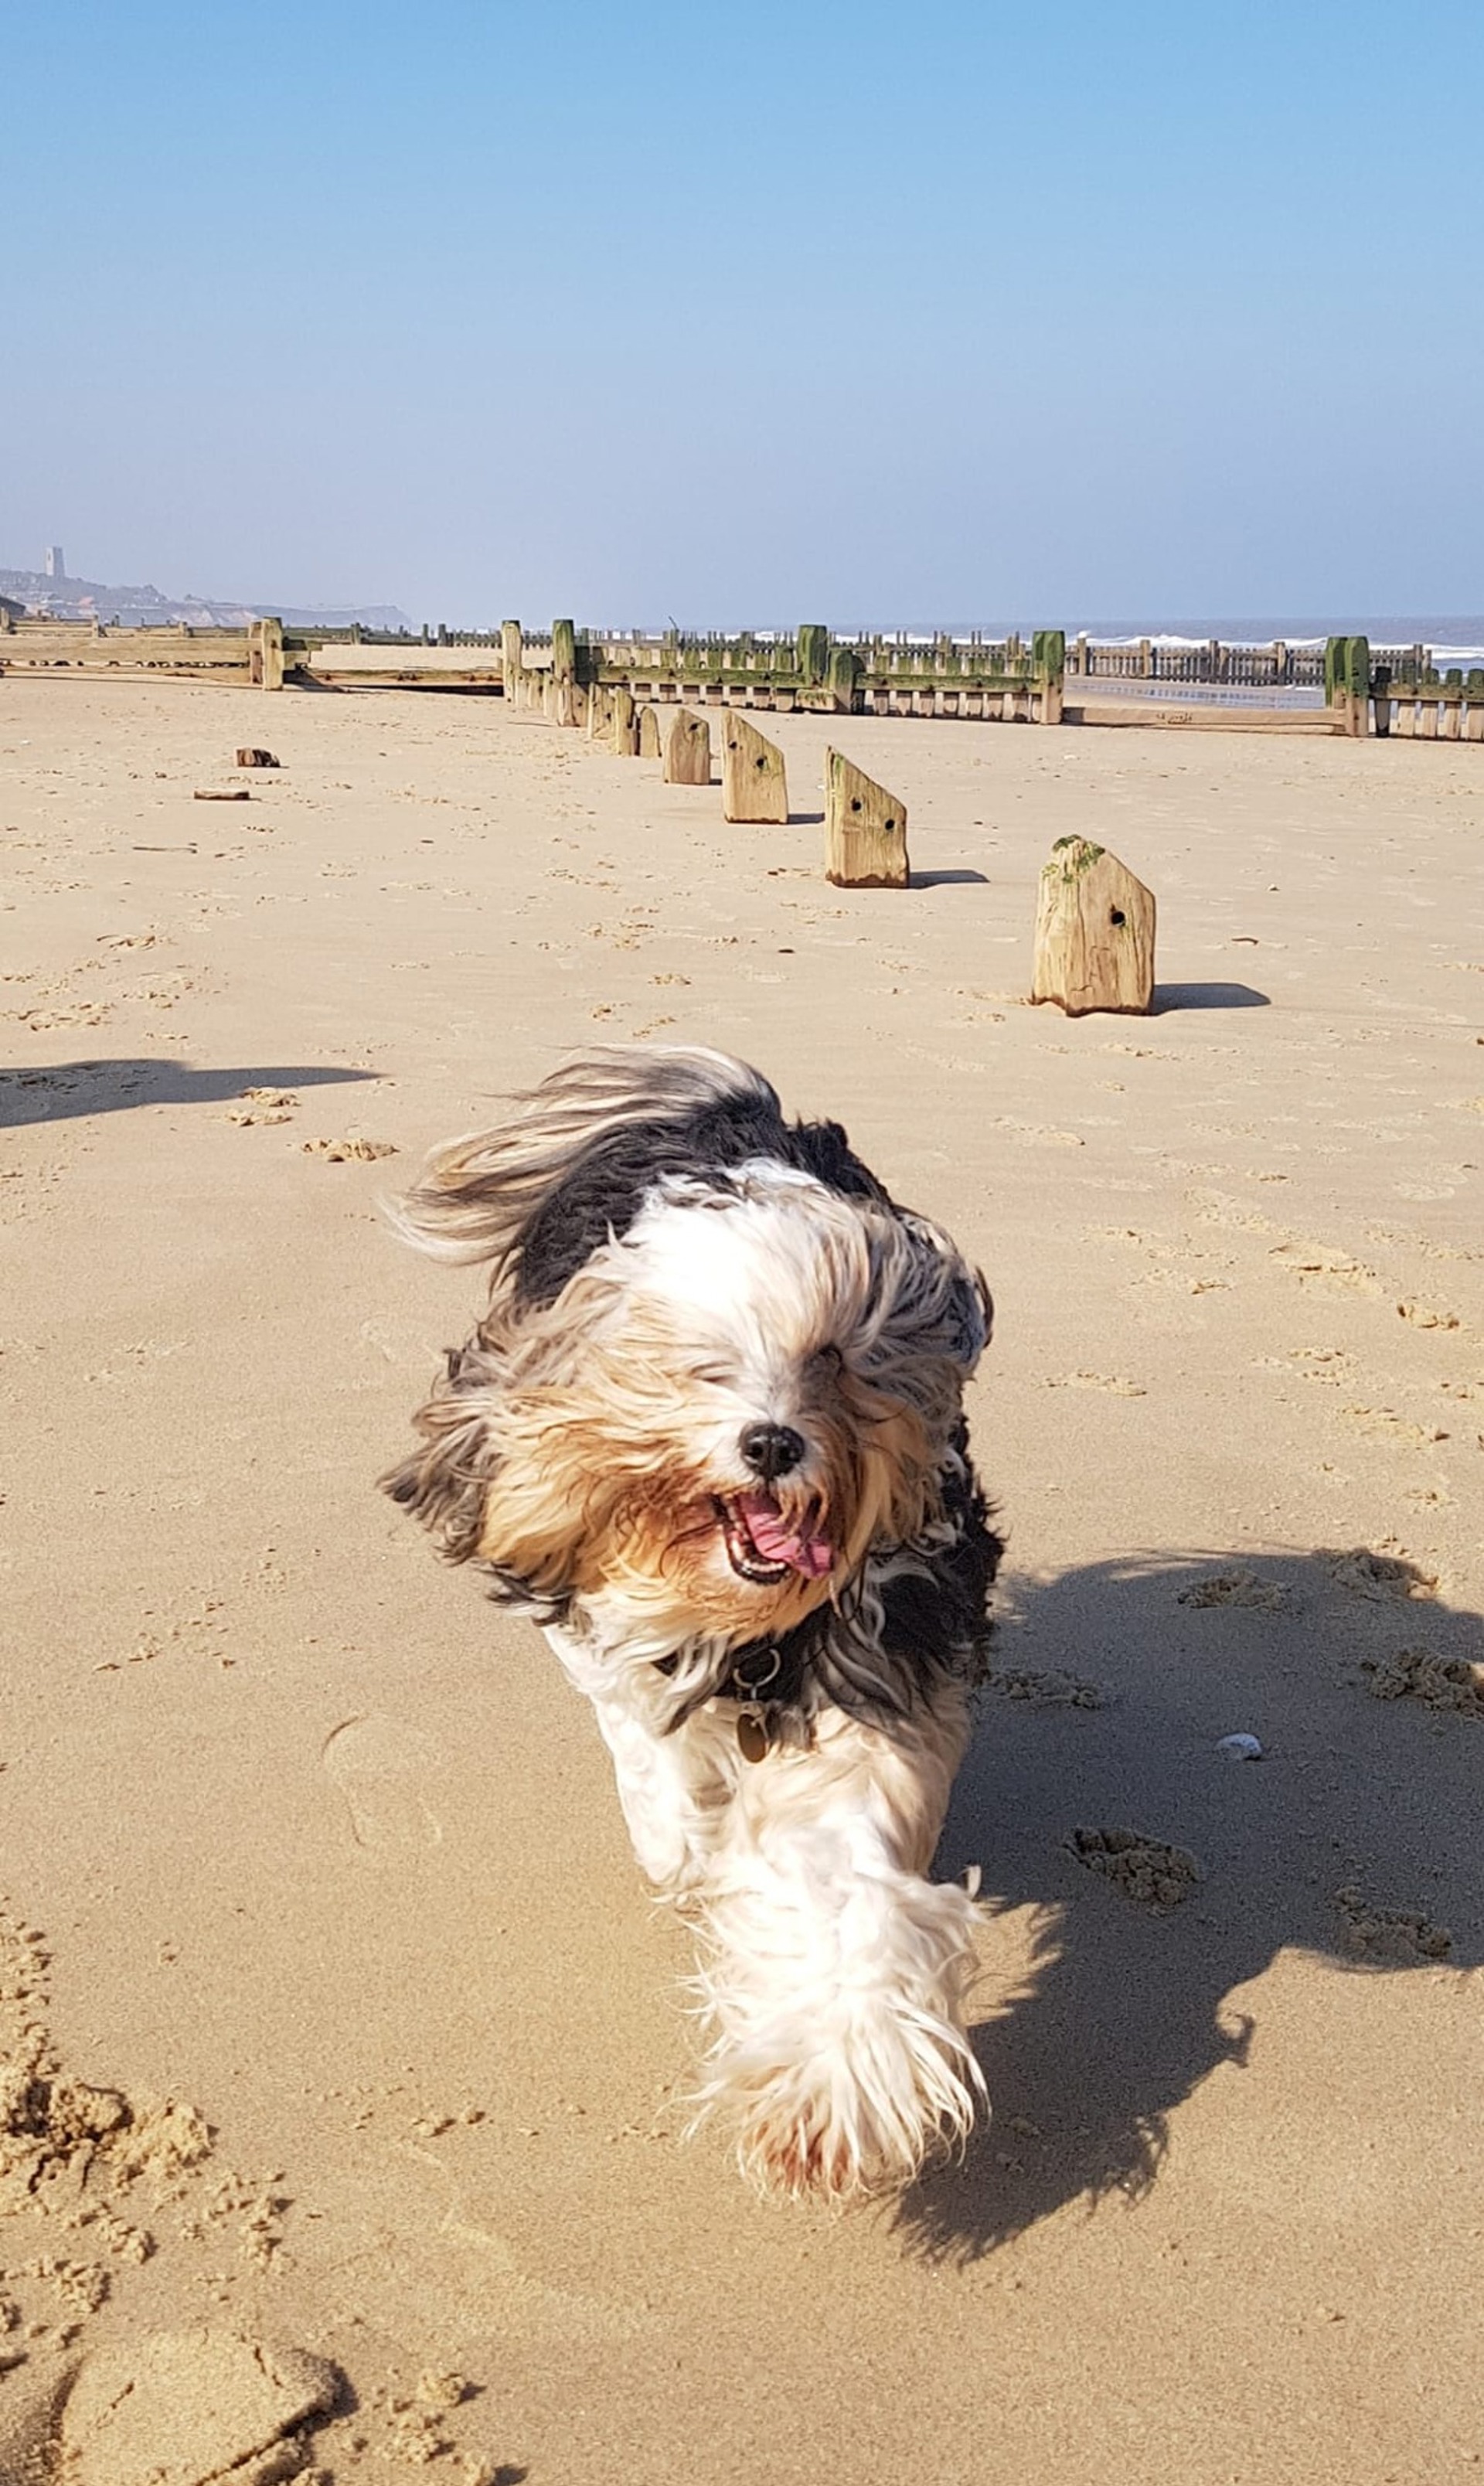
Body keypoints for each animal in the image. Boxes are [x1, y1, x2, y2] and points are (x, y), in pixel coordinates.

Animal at [383, 1044, 999, 2197]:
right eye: (699, 1365)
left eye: (830, 1358)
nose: (771, 1444)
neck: (749, 1624)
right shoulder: (604, 1625)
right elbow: (657, 1764)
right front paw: (692, 1848)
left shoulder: (871, 1676)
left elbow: (840, 1878)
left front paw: (833, 2089)